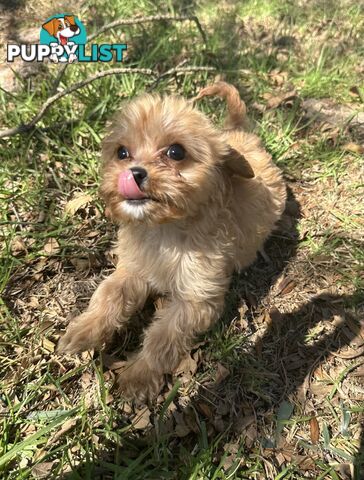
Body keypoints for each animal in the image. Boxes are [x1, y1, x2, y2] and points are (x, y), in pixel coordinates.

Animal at [58, 80, 288, 400]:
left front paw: (139, 375)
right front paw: (85, 330)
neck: (163, 231)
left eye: (176, 152)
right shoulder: (132, 270)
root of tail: (237, 131)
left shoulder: (196, 298)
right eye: (122, 152)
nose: (133, 173)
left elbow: (162, 337)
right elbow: (109, 295)